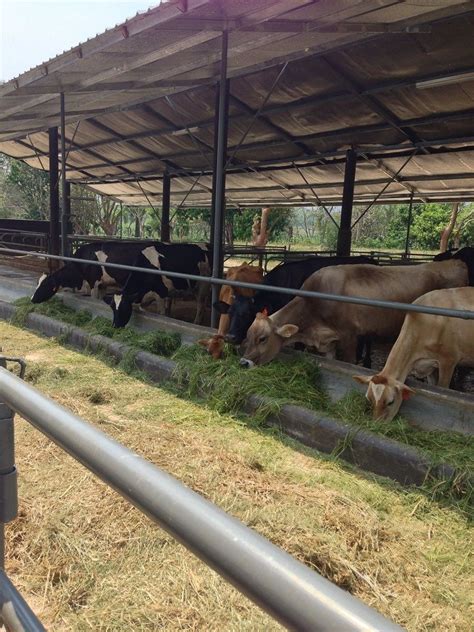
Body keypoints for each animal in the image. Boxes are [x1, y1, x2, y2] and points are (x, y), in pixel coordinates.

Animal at [241, 256, 470, 366]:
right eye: (248, 335)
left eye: (263, 338)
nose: (243, 362)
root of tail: (455, 262)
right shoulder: (329, 342)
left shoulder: (349, 337)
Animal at [354, 286, 474, 420]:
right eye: (369, 399)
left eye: (390, 402)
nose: (376, 423)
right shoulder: (430, 365)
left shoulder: (449, 360)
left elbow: (442, 387)